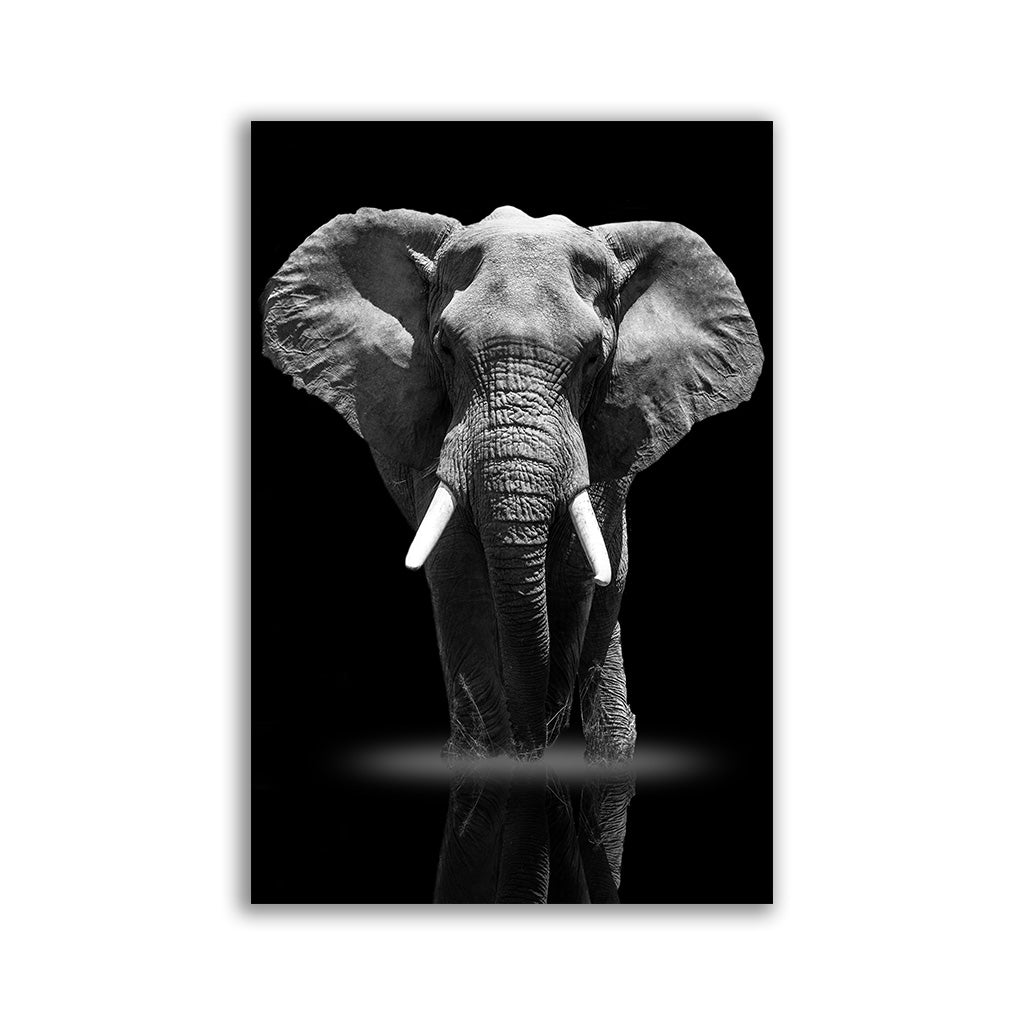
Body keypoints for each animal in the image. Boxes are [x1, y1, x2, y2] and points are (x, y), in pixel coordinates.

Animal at [261, 205, 762, 762]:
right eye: (444, 348)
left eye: (594, 358)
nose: (532, 742)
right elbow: (455, 566)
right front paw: (484, 754)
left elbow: (574, 566)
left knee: (611, 574)